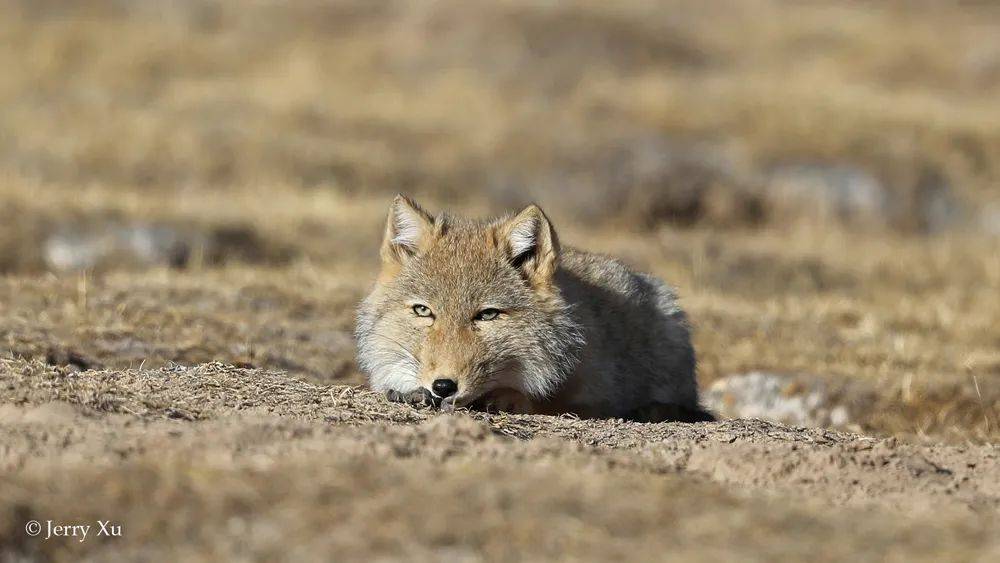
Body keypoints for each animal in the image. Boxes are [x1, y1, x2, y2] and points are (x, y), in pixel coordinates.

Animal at [352, 196, 712, 420]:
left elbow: (551, 401)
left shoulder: (596, 394)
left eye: (487, 314)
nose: (443, 387)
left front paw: (510, 398)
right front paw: (410, 392)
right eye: (423, 311)